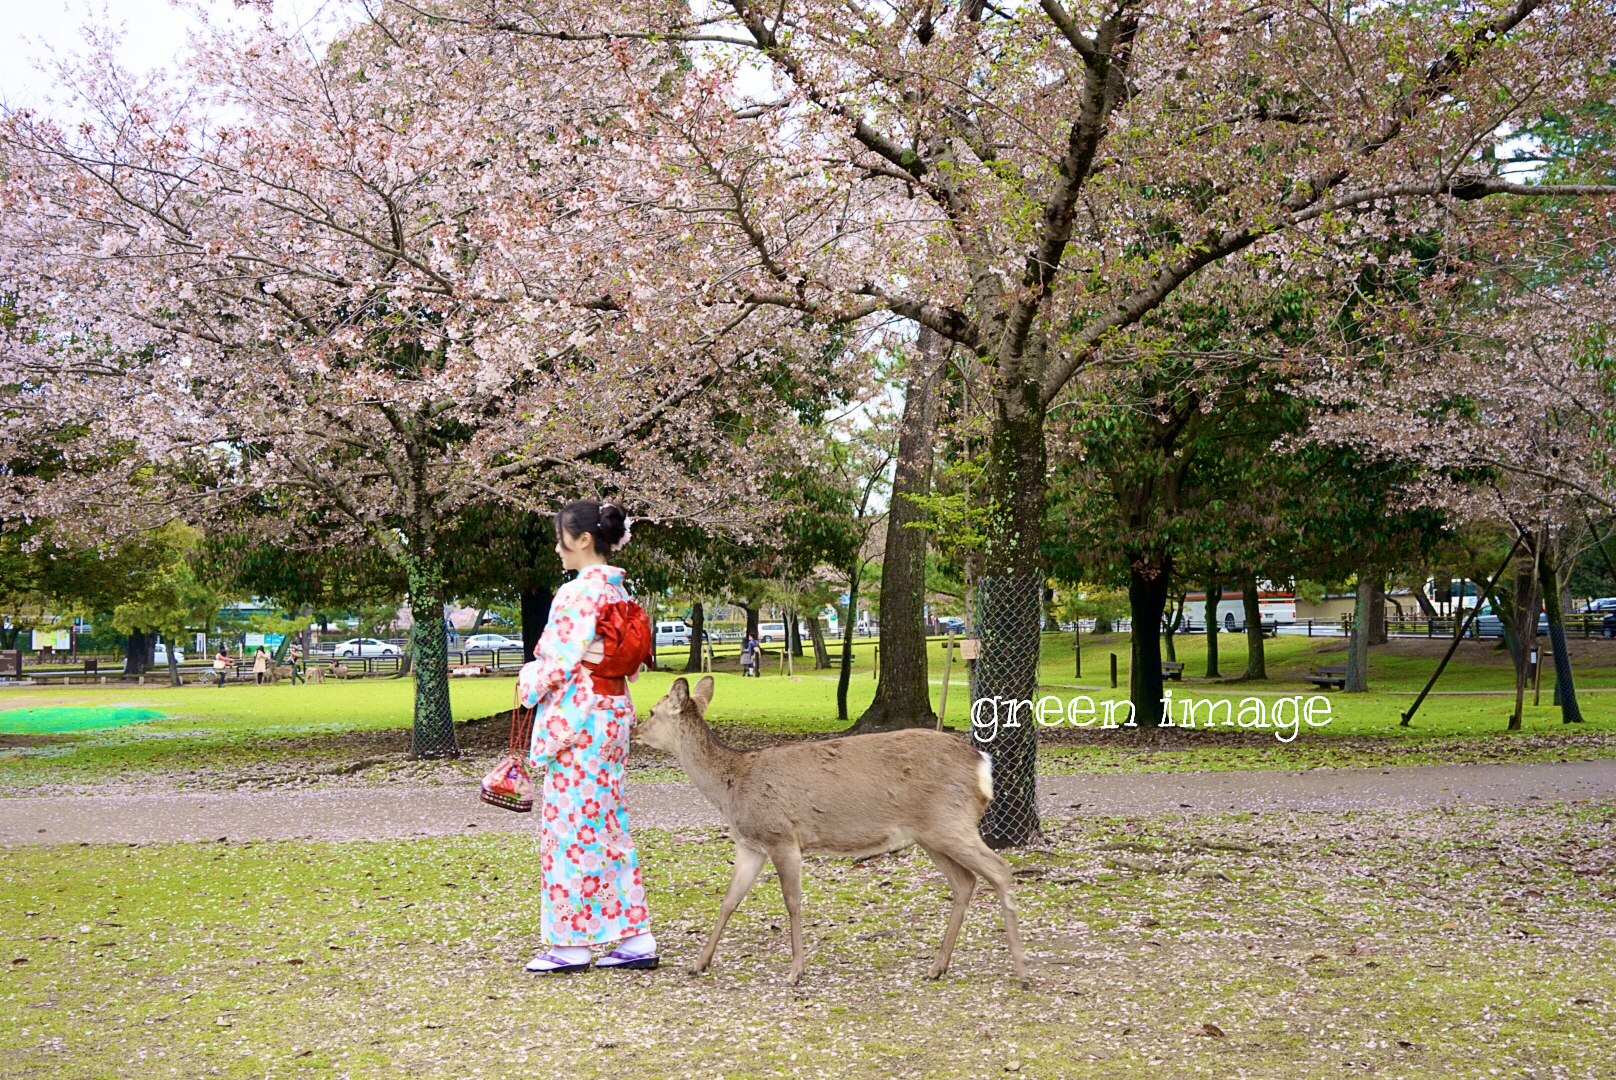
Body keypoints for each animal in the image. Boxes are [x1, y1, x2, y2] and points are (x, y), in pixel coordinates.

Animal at [636, 682, 1027, 989]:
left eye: (653, 710)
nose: (636, 730)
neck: (730, 788)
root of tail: (983, 766)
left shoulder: (781, 836)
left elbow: (792, 902)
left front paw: (795, 971)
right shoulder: (751, 844)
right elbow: (729, 901)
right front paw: (699, 963)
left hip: (949, 822)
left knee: (1000, 869)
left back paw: (1021, 970)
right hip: (931, 834)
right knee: (965, 882)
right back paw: (937, 967)